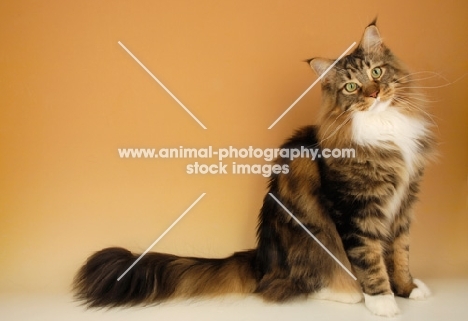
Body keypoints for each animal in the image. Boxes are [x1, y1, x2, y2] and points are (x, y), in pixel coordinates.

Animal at [73, 21, 436, 316]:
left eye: (376, 73)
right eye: (350, 87)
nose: (374, 94)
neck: (385, 127)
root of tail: (261, 258)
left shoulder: (404, 204)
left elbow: (400, 254)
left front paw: (407, 289)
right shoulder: (356, 209)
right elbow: (369, 256)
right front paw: (383, 301)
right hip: (311, 234)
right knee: (291, 284)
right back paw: (348, 292)